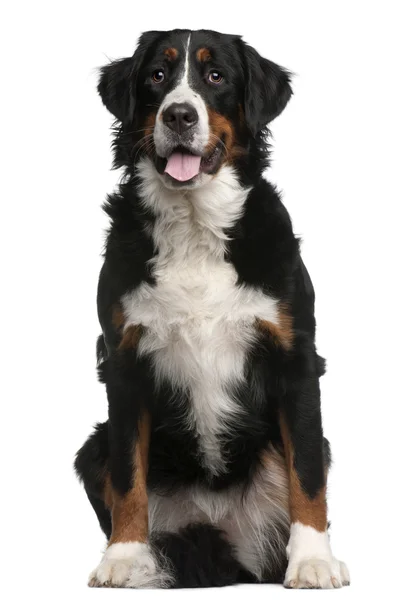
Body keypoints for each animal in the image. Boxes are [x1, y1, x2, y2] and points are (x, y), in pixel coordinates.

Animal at [74, 29, 348, 592]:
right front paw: (124, 557)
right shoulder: (124, 361)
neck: (194, 225)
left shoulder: (294, 358)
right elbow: (127, 476)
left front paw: (312, 560)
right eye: (157, 75)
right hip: (90, 446)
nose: (179, 114)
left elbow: (307, 472)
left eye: (216, 76)